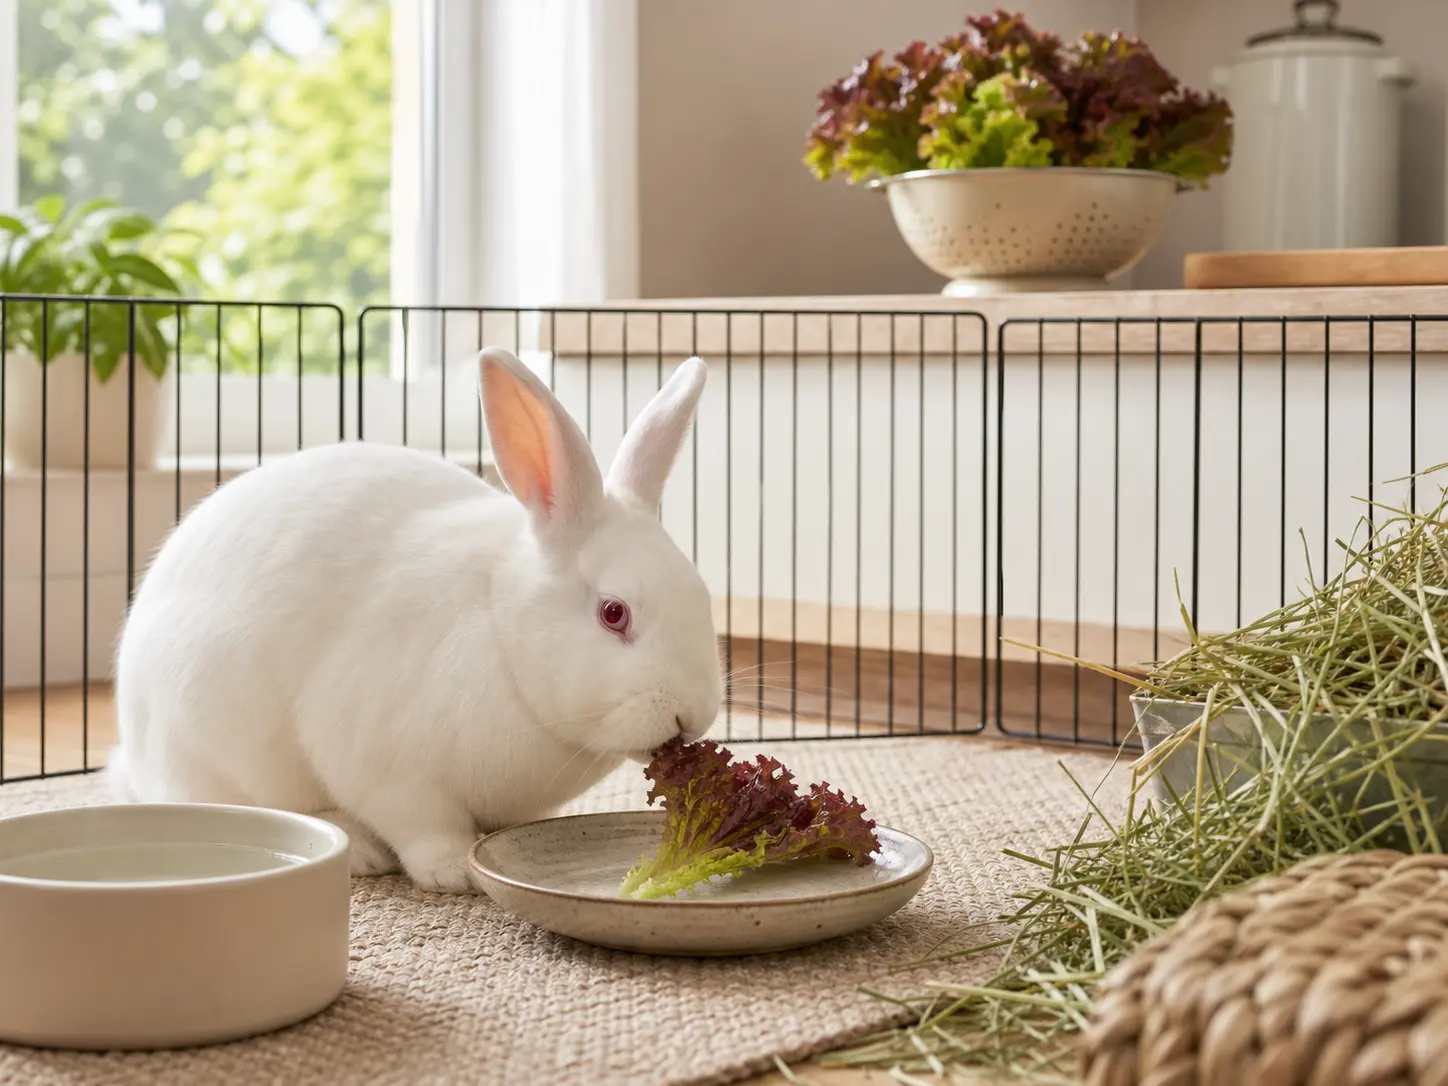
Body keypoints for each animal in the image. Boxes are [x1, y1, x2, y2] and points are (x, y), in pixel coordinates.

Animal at [108, 346, 724, 893]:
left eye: (702, 596)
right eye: (613, 613)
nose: (690, 716)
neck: (501, 626)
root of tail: (136, 762)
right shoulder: (386, 768)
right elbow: (424, 826)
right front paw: (454, 872)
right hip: (220, 751)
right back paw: (358, 849)